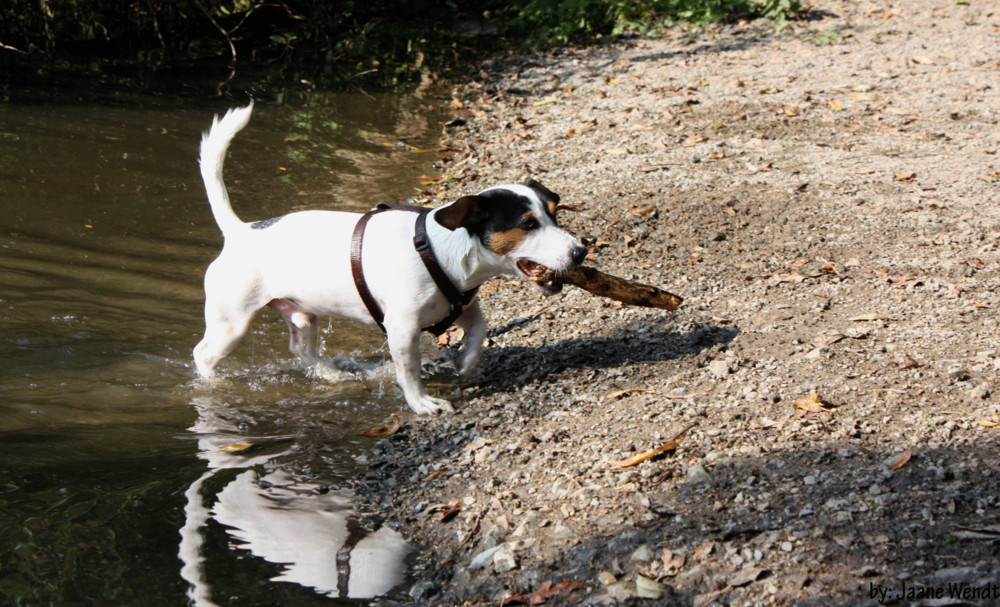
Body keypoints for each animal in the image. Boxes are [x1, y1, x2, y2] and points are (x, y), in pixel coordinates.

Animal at [193, 105, 584, 418]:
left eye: (554, 214)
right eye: (528, 224)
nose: (581, 252)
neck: (438, 250)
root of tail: (241, 231)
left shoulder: (463, 308)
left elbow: (479, 330)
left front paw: (467, 364)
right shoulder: (402, 328)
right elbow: (408, 370)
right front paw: (421, 403)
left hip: (303, 314)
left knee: (301, 349)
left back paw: (331, 374)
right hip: (231, 323)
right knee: (203, 354)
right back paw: (212, 384)